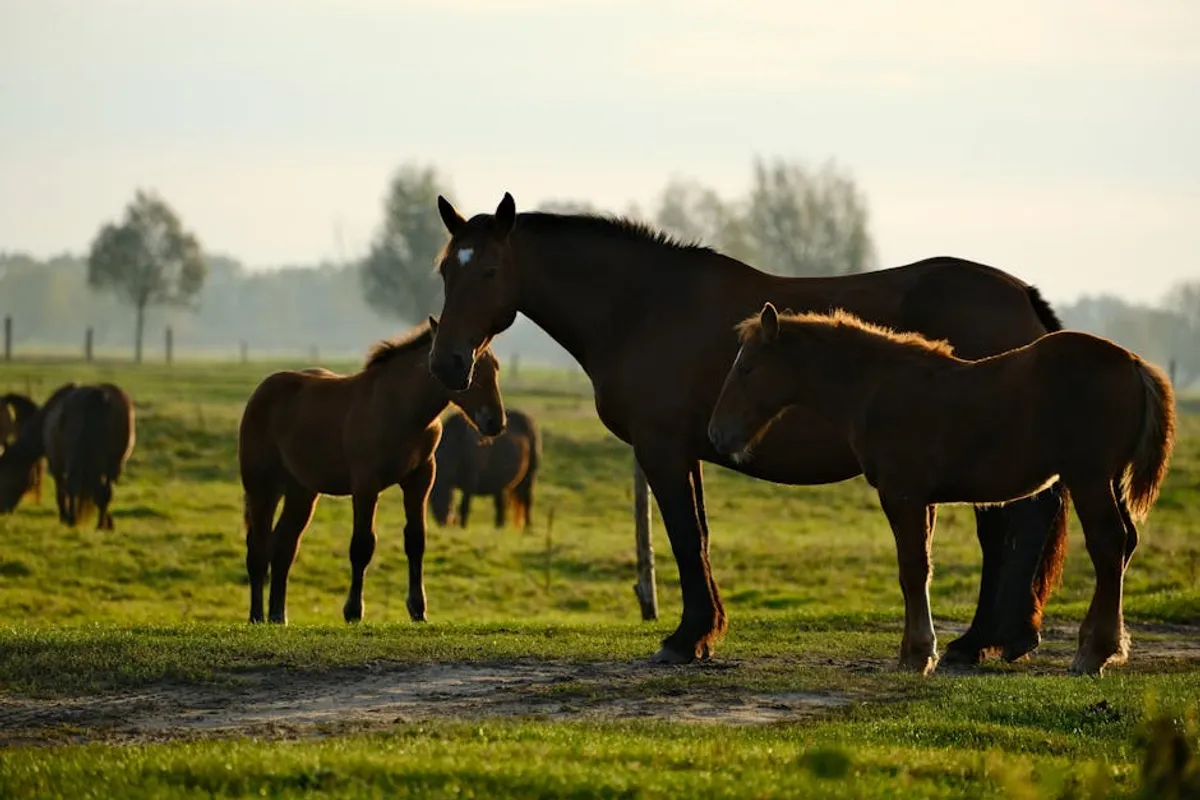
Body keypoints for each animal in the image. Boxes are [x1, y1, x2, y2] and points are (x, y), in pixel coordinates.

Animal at [44, 384, 137, 529]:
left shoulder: (57, 466)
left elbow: (62, 491)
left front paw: (66, 517)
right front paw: (107, 522)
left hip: (73, 460)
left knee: (73, 485)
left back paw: (72, 518)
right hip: (114, 464)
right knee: (106, 492)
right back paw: (100, 524)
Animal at [238, 319, 507, 626]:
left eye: (495, 368)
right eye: (464, 365)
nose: (495, 421)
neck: (400, 411)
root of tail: (262, 390)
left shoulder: (419, 480)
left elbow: (416, 540)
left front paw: (418, 610)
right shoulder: (365, 485)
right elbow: (362, 545)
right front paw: (353, 611)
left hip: (301, 491)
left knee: (284, 546)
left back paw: (278, 615)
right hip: (262, 487)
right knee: (258, 547)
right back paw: (257, 616)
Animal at [425, 193, 1070, 666]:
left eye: (489, 270)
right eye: (445, 270)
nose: (448, 363)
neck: (643, 308)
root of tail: (1023, 297)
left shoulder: (662, 449)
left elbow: (686, 538)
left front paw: (686, 639)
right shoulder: (686, 452)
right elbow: (700, 537)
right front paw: (705, 631)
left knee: (1011, 532)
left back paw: (984, 642)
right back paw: (998, 638)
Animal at [708, 303, 1175, 676]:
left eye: (746, 369)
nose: (717, 434)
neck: (875, 389)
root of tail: (1135, 363)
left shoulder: (901, 495)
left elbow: (912, 570)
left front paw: (916, 655)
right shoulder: (923, 500)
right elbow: (923, 570)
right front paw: (918, 652)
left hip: (1088, 478)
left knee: (1107, 545)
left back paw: (1092, 654)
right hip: (1108, 480)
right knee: (1125, 544)